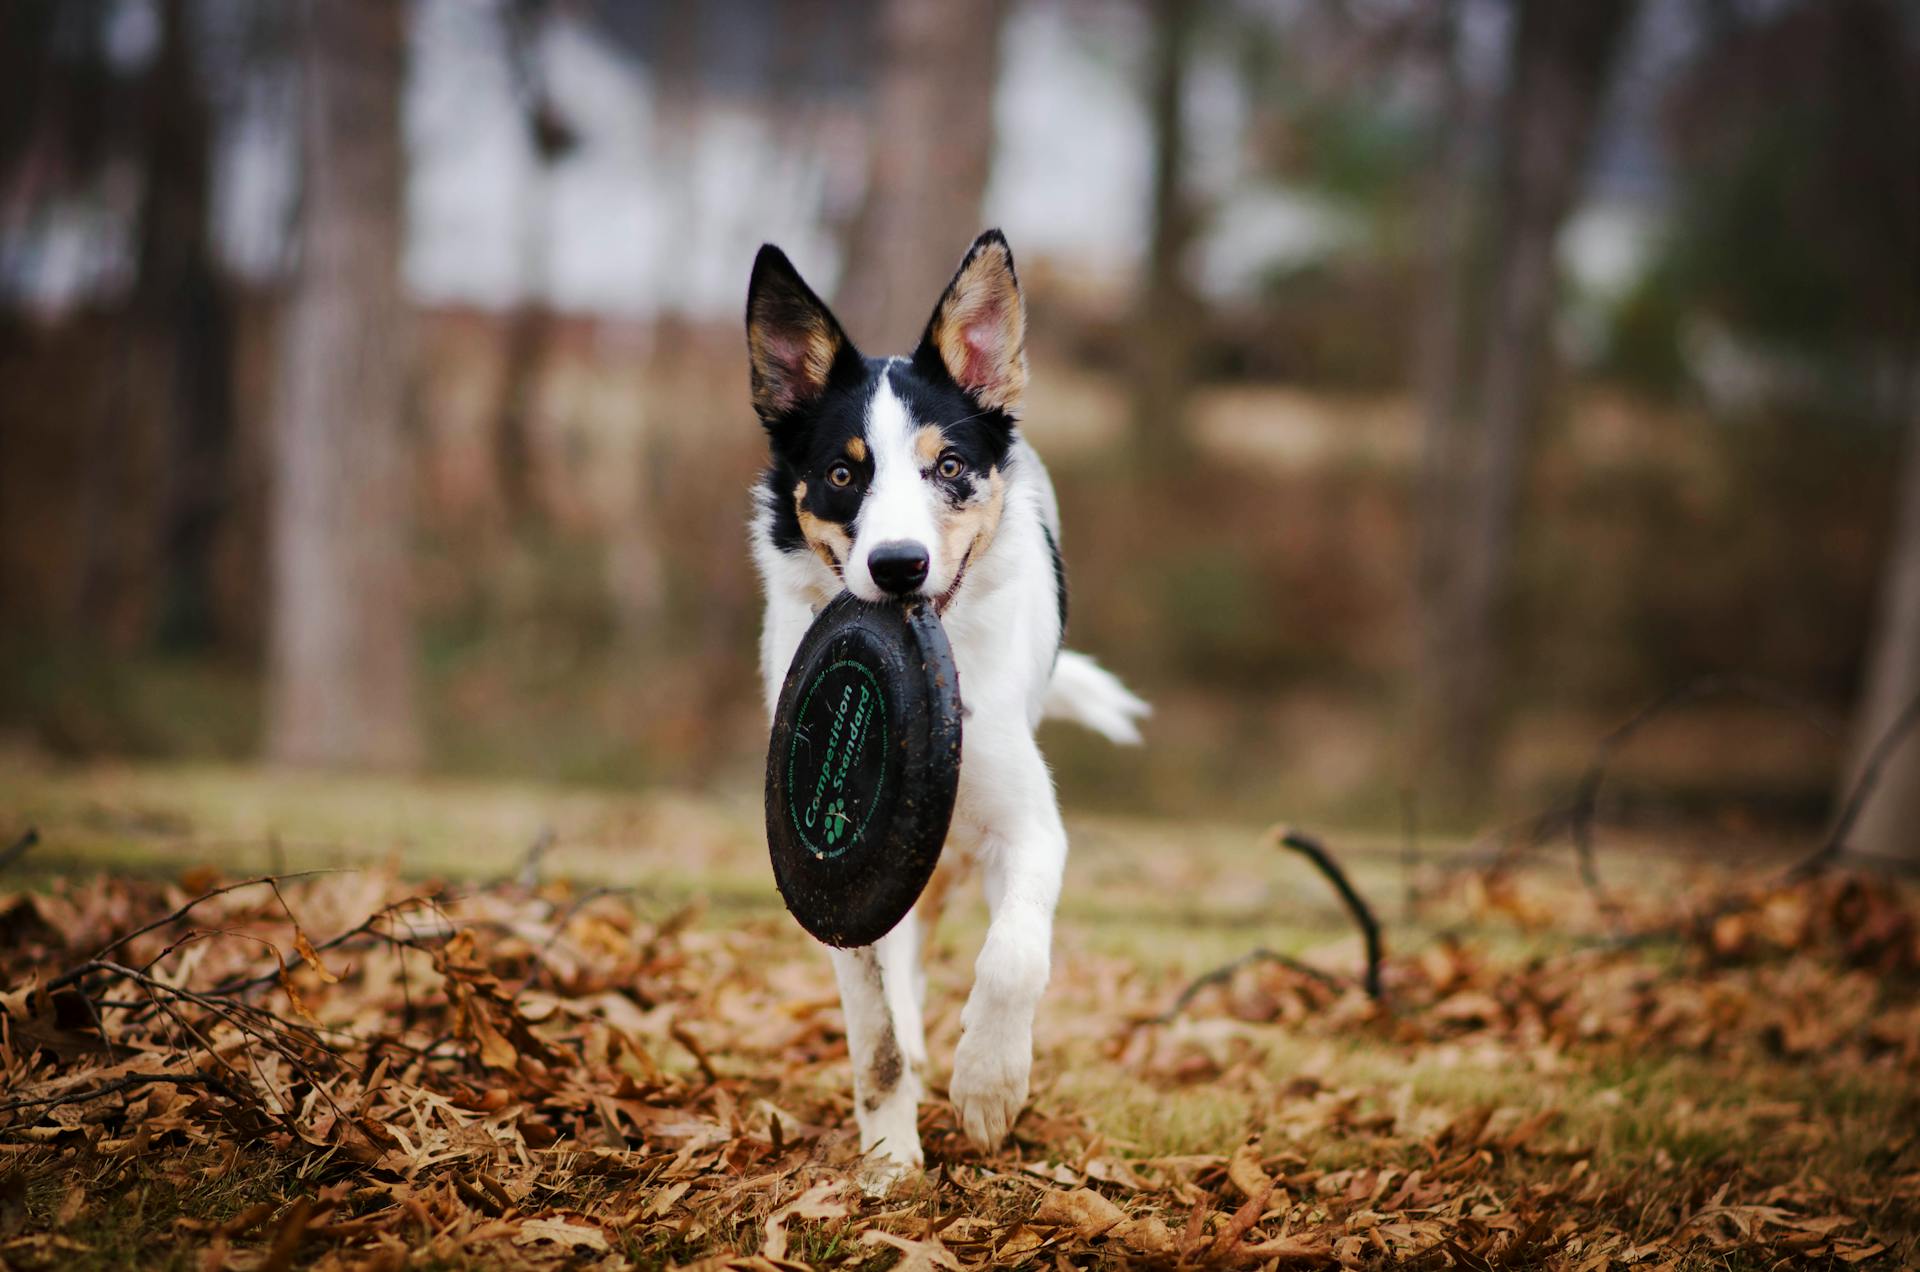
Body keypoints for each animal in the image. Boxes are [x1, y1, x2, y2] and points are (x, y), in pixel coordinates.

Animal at [741, 226, 1144, 1183]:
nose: (898, 566)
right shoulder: (842, 893)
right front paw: (891, 1158)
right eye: (843, 473)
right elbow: (876, 1034)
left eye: (949, 467)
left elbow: (1013, 958)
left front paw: (990, 1086)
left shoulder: (1027, 826)